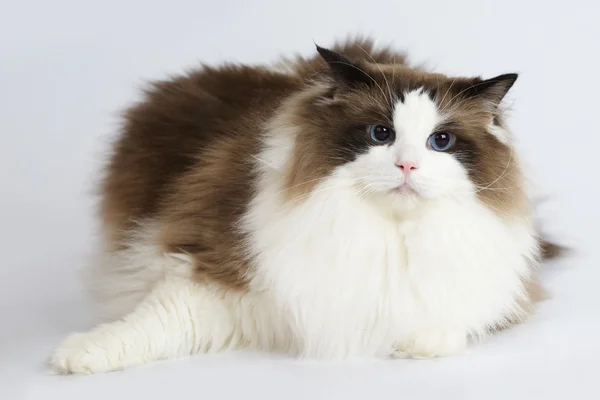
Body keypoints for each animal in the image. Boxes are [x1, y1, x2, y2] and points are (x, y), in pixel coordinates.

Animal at [48, 37, 564, 376]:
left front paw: (411, 346)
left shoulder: (496, 295)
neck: (386, 232)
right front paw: (75, 355)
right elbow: (150, 323)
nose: (407, 166)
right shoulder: (216, 266)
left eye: (441, 142)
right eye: (381, 133)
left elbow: (443, 330)